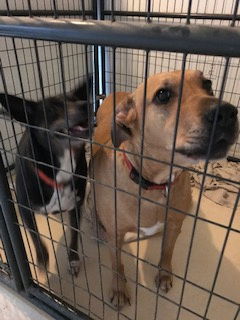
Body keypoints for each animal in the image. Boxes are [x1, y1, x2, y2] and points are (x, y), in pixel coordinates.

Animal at [0, 77, 92, 276]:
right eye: (52, 108)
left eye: (76, 99)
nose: (86, 104)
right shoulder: (25, 209)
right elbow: (35, 237)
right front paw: (42, 259)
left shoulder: (76, 206)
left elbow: (74, 234)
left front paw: (73, 260)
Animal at [91, 70, 239, 308]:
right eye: (163, 95)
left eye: (208, 84)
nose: (227, 112)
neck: (154, 184)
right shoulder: (115, 235)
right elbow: (116, 264)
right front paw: (119, 288)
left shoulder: (174, 225)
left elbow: (166, 252)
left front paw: (164, 275)